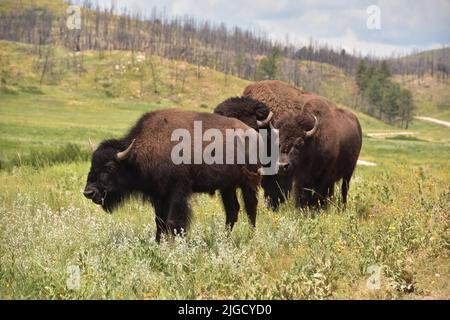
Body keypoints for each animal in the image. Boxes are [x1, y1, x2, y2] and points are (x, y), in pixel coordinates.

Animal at [83, 109, 260, 241]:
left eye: (109, 167)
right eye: (92, 163)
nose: (88, 192)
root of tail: (254, 134)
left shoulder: (177, 191)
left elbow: (173, 221)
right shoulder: (158, 195)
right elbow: (159, 221)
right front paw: (158, 242)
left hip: (249, 183)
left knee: (250, 208)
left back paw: (250, 238)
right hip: (227, 186)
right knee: (232, 211)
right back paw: (226, 239)